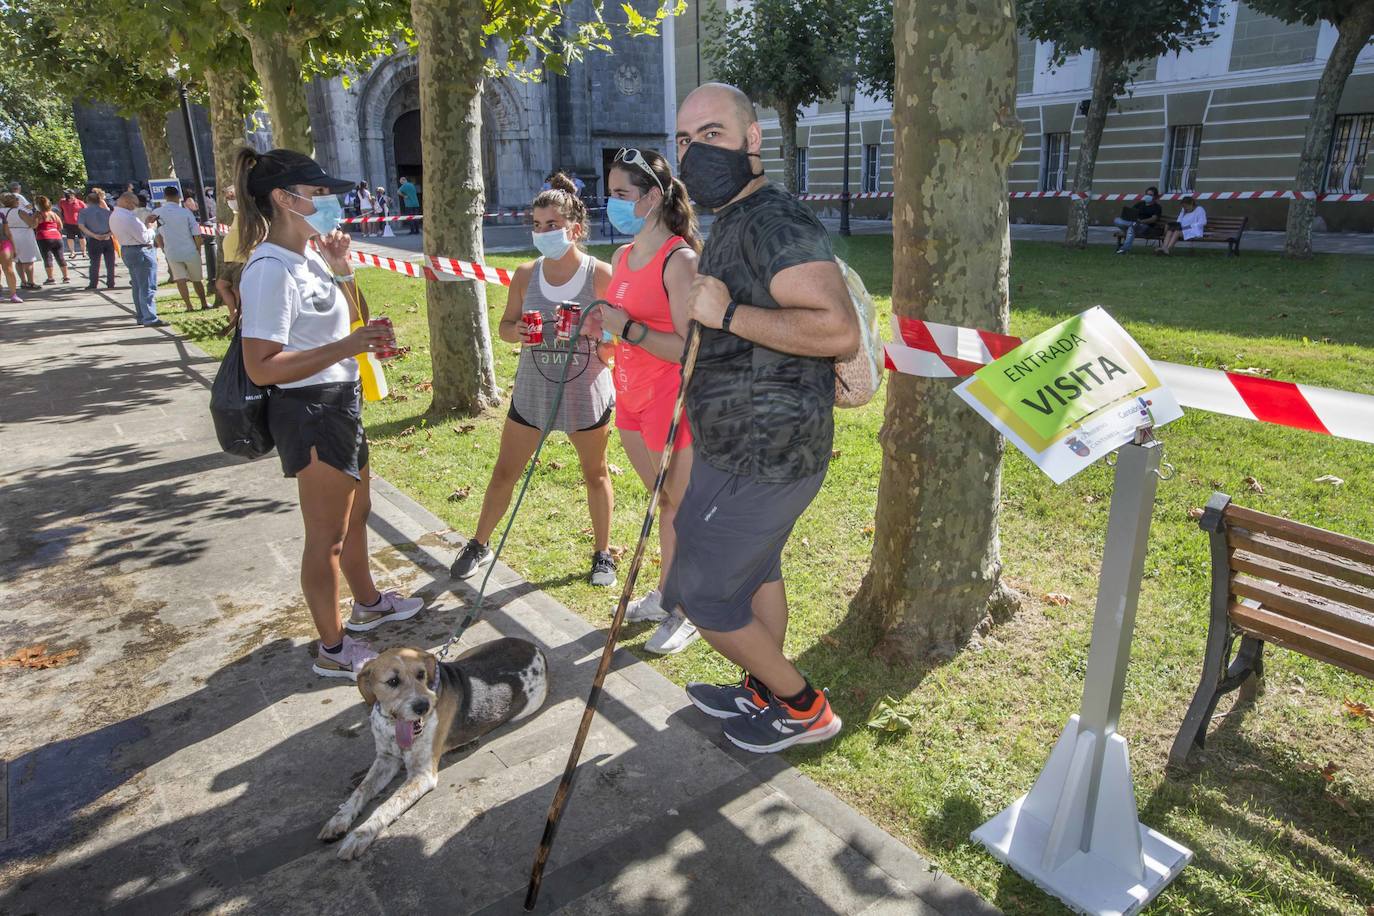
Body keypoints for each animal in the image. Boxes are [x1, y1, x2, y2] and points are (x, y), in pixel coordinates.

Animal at [318, 637, 549, 862]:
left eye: (421, 674)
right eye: (393, 681)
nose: (423, 707)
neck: (393, 726)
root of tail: (536, 648)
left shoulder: (422, 775)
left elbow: (387, 805)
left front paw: (360, 834)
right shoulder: (385, 758)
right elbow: (361, 790)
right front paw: (339, 820)